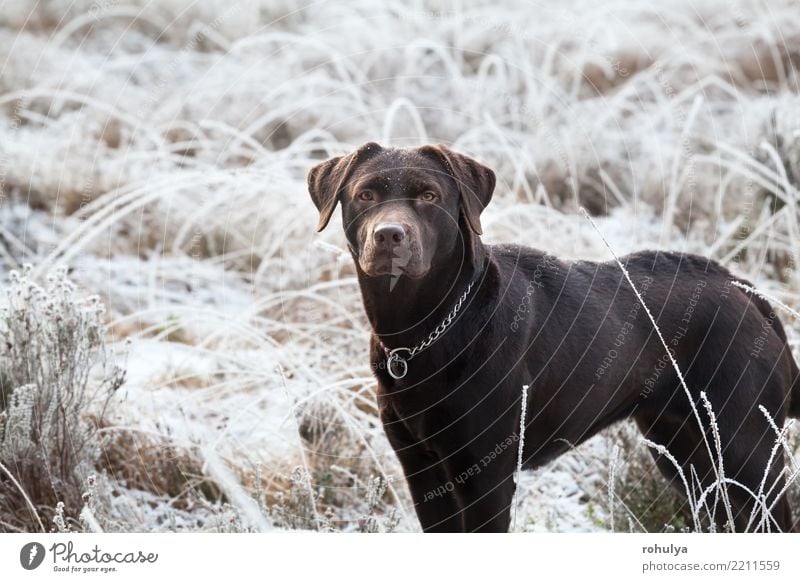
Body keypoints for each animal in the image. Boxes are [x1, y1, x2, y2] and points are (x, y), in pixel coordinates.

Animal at [306, 143, 800, 532]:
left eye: (429, 196)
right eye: (366, 194)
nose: (389, 235)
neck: (423, 329)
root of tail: (745, 290)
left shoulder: (486, 476)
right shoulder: (422, 472)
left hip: (748, 450)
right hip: (687, 451)